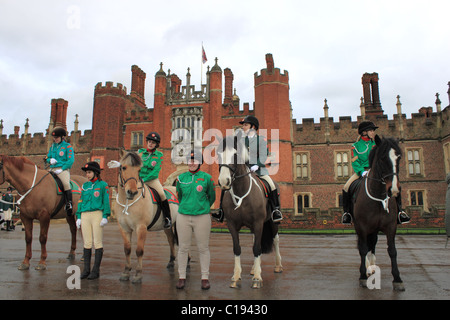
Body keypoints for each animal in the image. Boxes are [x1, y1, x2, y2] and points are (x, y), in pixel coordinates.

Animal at [111, 149, 180, 284]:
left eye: (139, 170)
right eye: (123, 167)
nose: (132, 192)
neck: (128, 203)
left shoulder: (141, 228)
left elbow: (139, 250)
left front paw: (138, 274)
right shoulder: (124, 228)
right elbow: (127, 249)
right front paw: (126, 272)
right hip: (168, 226)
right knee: (171, 240)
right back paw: (171, 261)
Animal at [354, 136, 406, 292]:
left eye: (399, 157)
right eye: (382, 158)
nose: (394, 189)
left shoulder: (391, 226)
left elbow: (392, 250)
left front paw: (397, 279)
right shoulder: (361, 226)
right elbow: (362, 249)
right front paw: (362, 276)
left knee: (372, 243)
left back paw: (371, 267)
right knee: (364, 245)